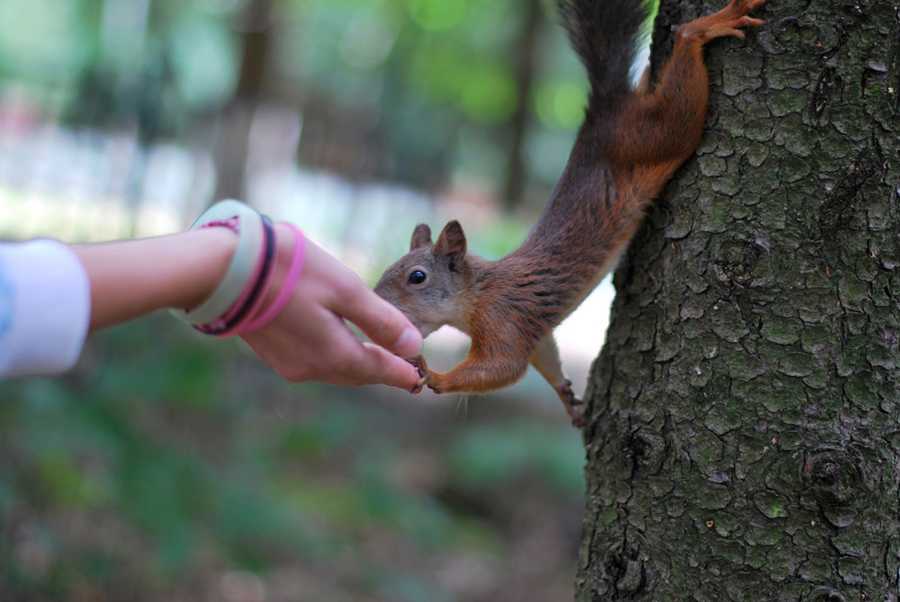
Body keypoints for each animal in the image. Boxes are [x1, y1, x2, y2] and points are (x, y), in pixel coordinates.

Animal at [374, 0, 768, 426]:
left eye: (417, 277)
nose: (376, 299)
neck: (477, 294)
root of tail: (603, 108)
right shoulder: (533, 331)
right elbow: (544, 357)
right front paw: (566, 397)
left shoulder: (503, 319)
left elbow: (503, 367)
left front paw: (436, 376)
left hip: (657, 136)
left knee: (681, 90)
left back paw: (707, 26)